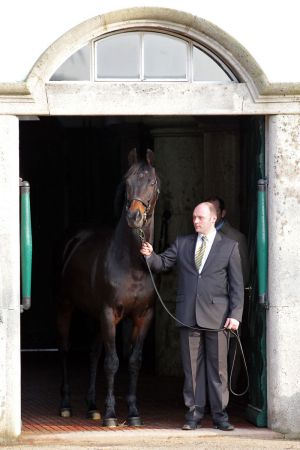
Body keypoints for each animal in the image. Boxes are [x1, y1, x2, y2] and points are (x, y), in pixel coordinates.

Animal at [56, 149, 159, 428]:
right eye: (127, 181)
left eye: (152, 182)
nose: (134, 217)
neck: (133, 264)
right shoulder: (108, 313)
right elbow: (112, 362)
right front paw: (112, 414)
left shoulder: (144, 316)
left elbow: (134, 361)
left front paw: (133, 412)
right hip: (67, 306)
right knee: (66, 348)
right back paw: (66, 404)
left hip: (93, 316)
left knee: (93, 353)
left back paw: (92, 407)